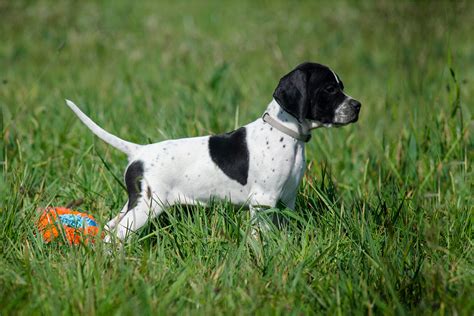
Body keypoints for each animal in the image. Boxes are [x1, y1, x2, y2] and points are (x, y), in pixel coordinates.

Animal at [66, 61, 362, 241]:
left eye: (342, 87)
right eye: (330, 89)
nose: (358, 106)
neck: (285, 133)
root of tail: (139, 152)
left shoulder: (286, 200)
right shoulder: (263, 202)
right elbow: (259, 236)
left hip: (134, 203)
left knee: (109, 226)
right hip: (147, 206)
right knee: (113, 236)